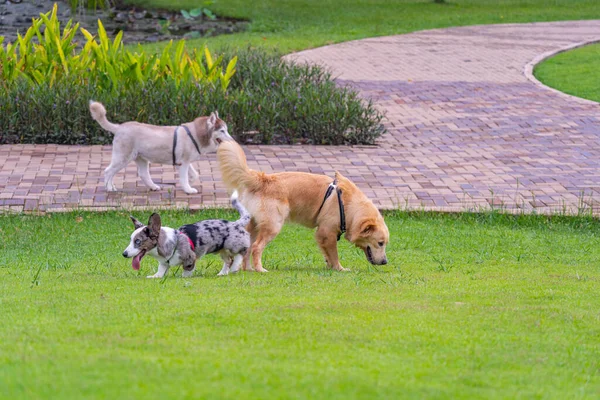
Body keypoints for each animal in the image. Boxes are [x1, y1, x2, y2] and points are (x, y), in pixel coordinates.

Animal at [89, 100, 232, 194]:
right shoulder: (184, 163)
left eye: (226, 130)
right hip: (122, 158)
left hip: (140, 159)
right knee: (108, 171)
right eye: (222, 131)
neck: (195, 134)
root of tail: (119, 127)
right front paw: (188, 189)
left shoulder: (185, 162)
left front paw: (189, 183)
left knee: (143, 174)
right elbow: (185, 177)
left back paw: (153, 187)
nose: (232, 141)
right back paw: (109, 188)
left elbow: (194, 175)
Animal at [218, 141, 392, 272]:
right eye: (380, 243)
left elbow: (327, 255)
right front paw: (340, 269)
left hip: (254, 225)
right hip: (273, 225)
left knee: (248, 247)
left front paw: (330, 267)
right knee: (256, 247)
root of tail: (263, 179)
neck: (347, 204)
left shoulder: (323, 235)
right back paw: (260, 269)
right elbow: (334, 254)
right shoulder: (327, 232)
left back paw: (248, 269)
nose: (385, 262)